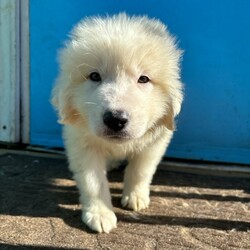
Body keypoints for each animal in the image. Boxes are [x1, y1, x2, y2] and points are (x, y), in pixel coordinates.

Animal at [51, 13, 184, 232]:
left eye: (143, 79)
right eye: (94, 76)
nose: (115, 119)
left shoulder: (155, 141)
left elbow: (140, 170)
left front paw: (135, 197)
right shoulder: (83, 145)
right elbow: (93, 182)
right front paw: (100, 214)